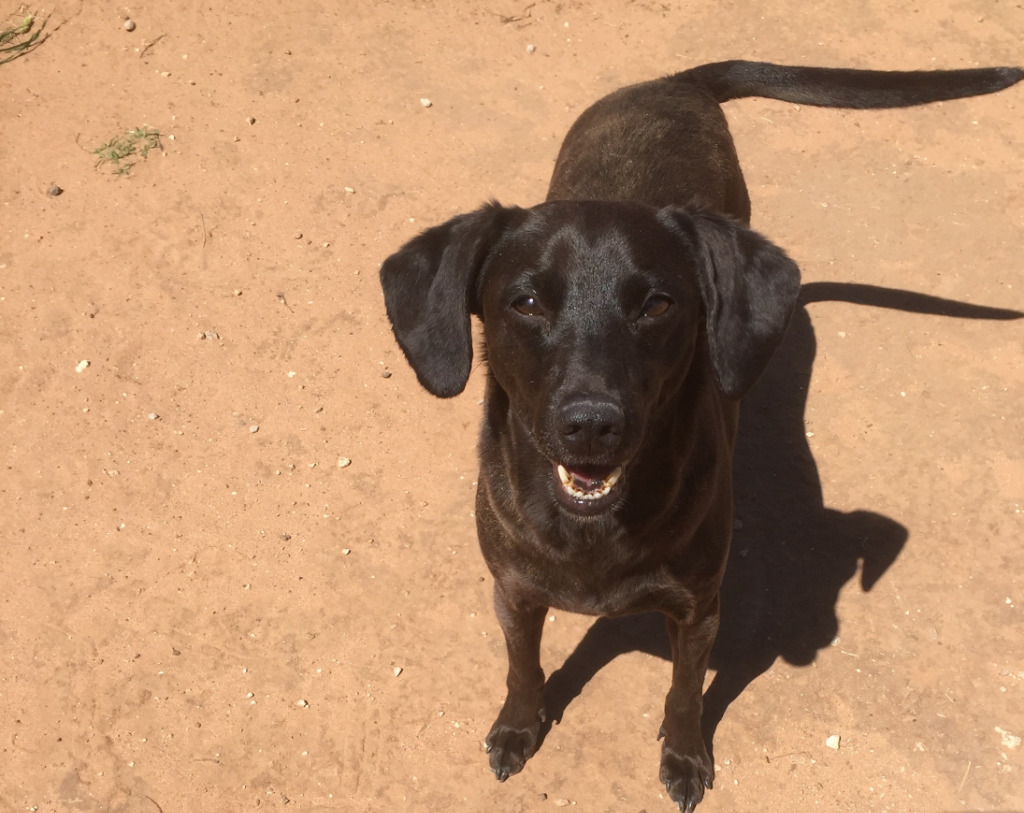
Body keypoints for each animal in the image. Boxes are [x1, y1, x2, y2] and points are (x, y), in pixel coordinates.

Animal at [378, 60, 1024, 806]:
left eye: (658, 304)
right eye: (527, 302)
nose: (592, 424)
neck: (595, 534)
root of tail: (674, 81)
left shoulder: (698, 612)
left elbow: (686, 693)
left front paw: (685, 756)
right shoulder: (512, 591)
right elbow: (522, 666)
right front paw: (518, 725)